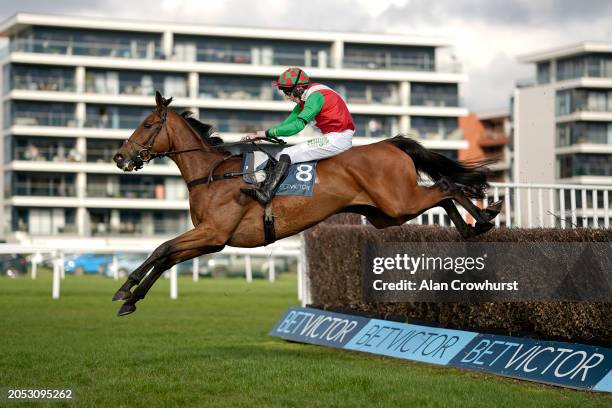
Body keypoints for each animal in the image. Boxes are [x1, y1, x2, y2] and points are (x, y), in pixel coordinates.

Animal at [111, 92, 502, 316]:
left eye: (147, 124)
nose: (119, 156)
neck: (213, 174)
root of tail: (391, 144)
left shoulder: (214, 233)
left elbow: (161, 249)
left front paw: (124, 288)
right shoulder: (211, 240)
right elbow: (167, 257)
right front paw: (132, 297)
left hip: (398, 202)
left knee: (446, 186)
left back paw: (483, 216)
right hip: (386, 215)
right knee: (443, 192)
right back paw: (475, 225)